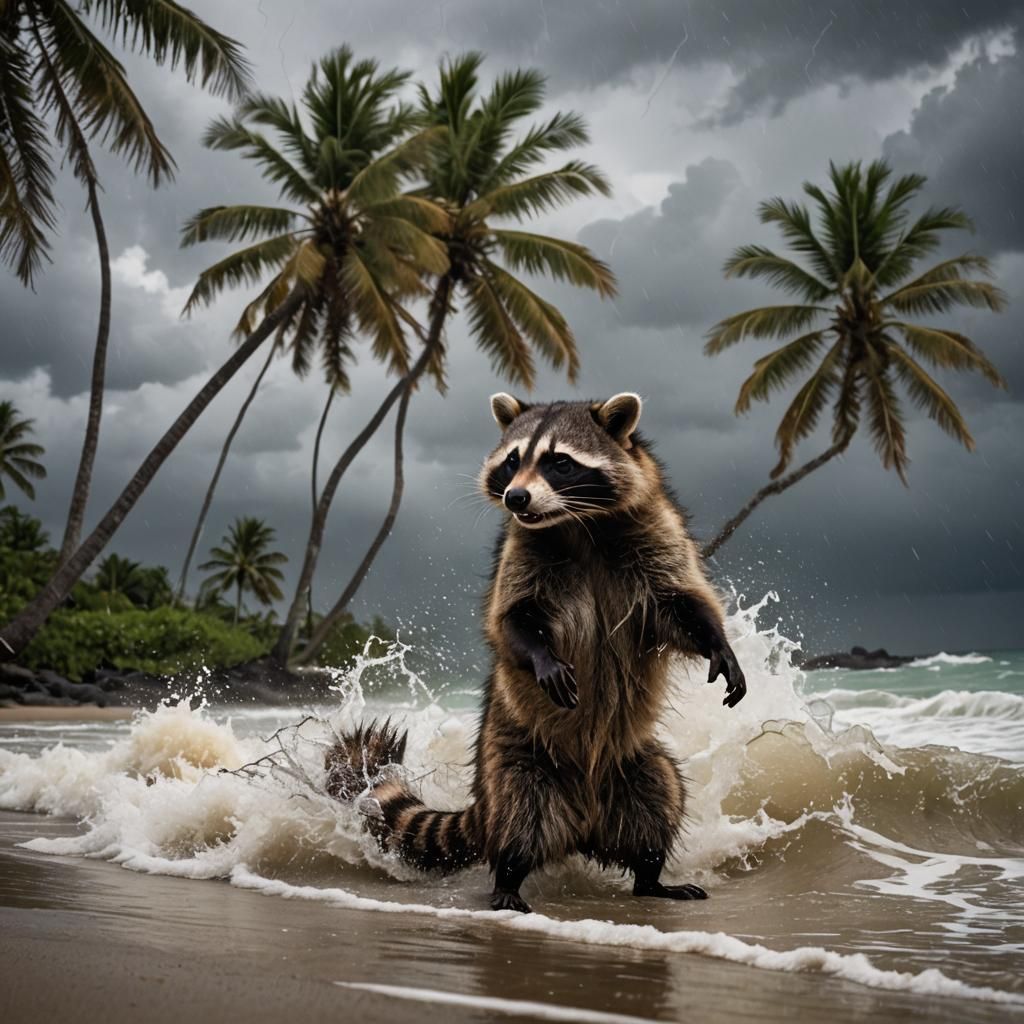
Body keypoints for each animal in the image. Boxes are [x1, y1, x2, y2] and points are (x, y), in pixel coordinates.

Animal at [325, 392, 746, 913]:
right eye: (513, 460)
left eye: (559, 462)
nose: (516, 498)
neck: (579, 524)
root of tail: (585, 825)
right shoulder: (521, 552)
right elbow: (512, 620)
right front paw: (544, 657)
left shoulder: (656, 534)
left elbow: (683, 603)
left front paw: (720, 644)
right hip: (517, 758)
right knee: (520, 815)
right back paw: (509, 876)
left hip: (632, 759)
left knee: (661, 792)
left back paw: (651, 875)